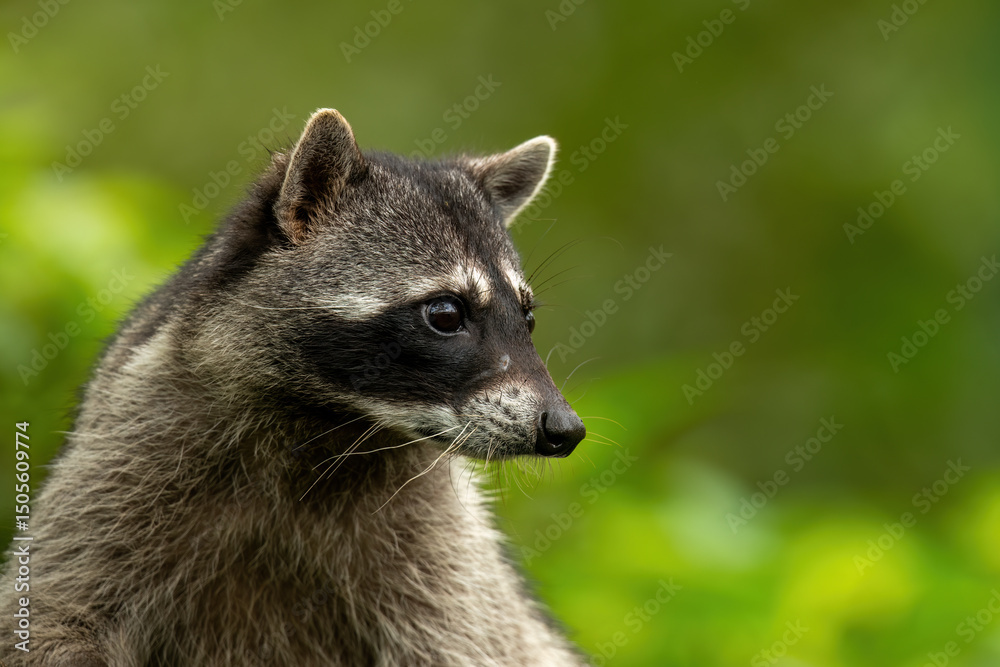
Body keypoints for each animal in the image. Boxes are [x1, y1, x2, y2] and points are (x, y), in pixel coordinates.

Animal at [1, 109, 587, 666]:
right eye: (446, 313)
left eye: (527, 318)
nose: (565, 429)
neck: (329, 421)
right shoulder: (128, 447)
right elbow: (50, 615)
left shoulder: (448, 554)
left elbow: (468, 642)